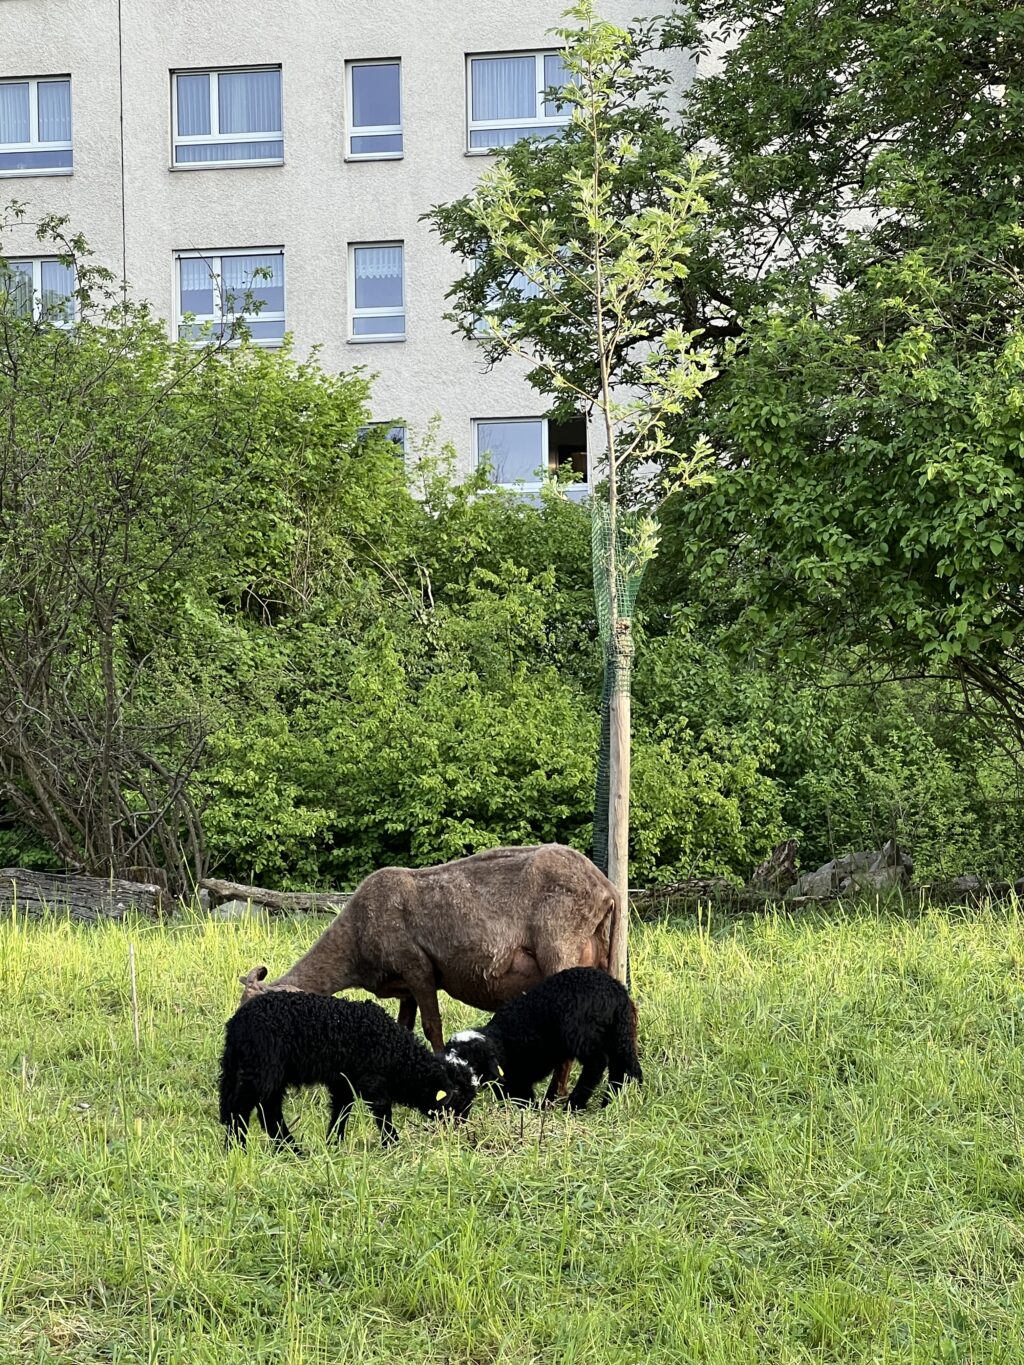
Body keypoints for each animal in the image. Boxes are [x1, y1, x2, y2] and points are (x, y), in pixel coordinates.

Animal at [219, 988, 480, 1146]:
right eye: (459, 1103)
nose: (460, 1131)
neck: (397, 1054)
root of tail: (236, 1025)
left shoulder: (343, 1081)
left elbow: (341, 1110)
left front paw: (334, 1142)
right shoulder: (372, 1080)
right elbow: (382, 1111)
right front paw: (392, 1143)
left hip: (267, 1073)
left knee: (267, 1111)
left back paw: (291, 1149)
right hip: (262, 1069)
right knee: (243, 1109)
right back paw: (238, 1148)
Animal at [237, 840, 622, 1053]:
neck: (355, 943)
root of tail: (607, 889)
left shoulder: (417, 968)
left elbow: (432, 1025)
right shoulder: (405, 988)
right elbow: (404, 1028)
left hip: (560, 947)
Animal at [447, 966, 641, 1113]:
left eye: (472, 1063)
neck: (502, 1041)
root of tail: (615, 990)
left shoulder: (520, 1077)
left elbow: (522, 1098)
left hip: (582, 1033)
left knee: (598, 1062)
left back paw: (574, 1105)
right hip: (618, 1034)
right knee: (622, 1065)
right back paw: (611, 1101)